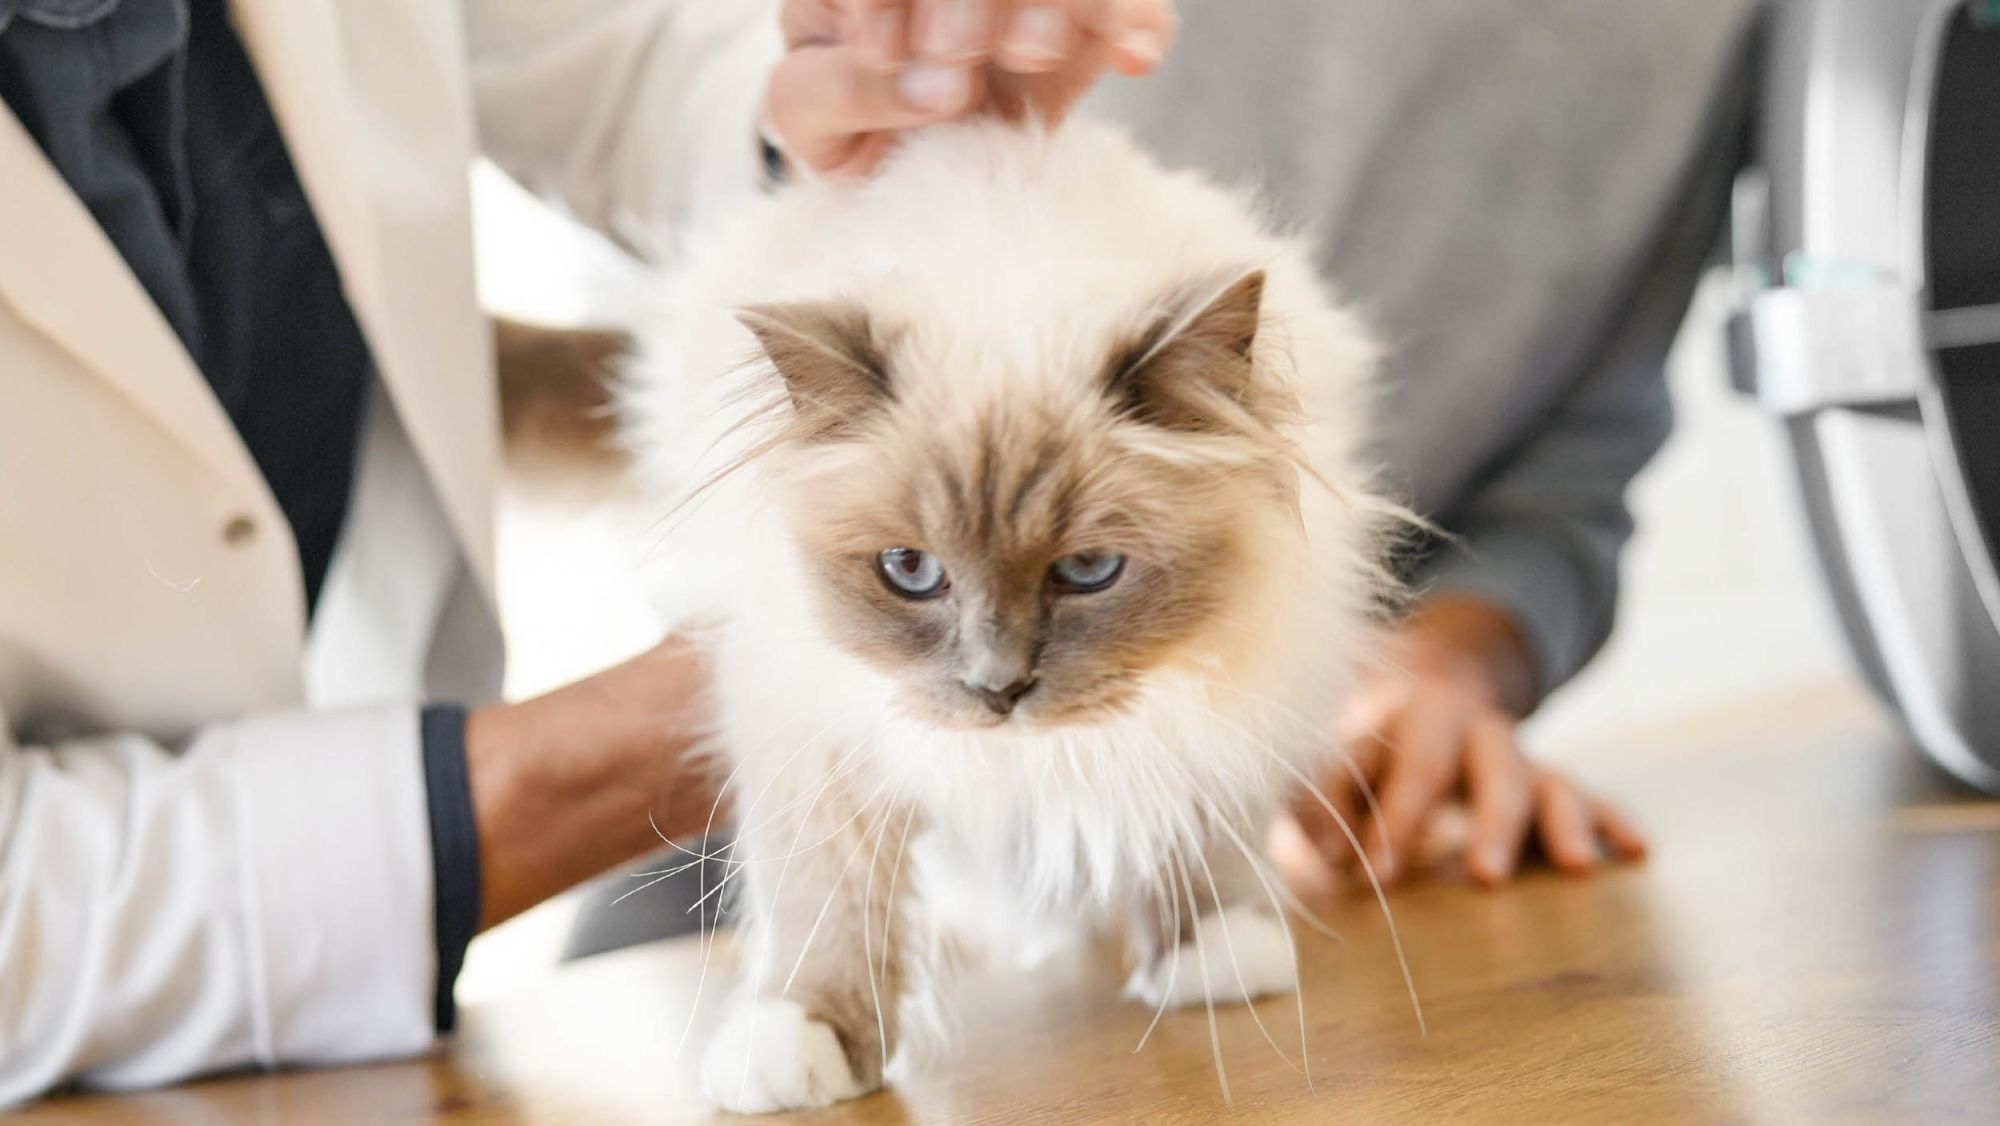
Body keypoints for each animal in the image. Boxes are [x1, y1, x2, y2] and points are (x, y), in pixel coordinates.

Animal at [620, 119, 1392, 1112]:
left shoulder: (1227, 679)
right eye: (911, 571)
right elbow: (825, 898)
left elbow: (1200, 817)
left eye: (1088, 571)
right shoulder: (815, 730)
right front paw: (800, 1043)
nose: (999, 688)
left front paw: (1211, 953)